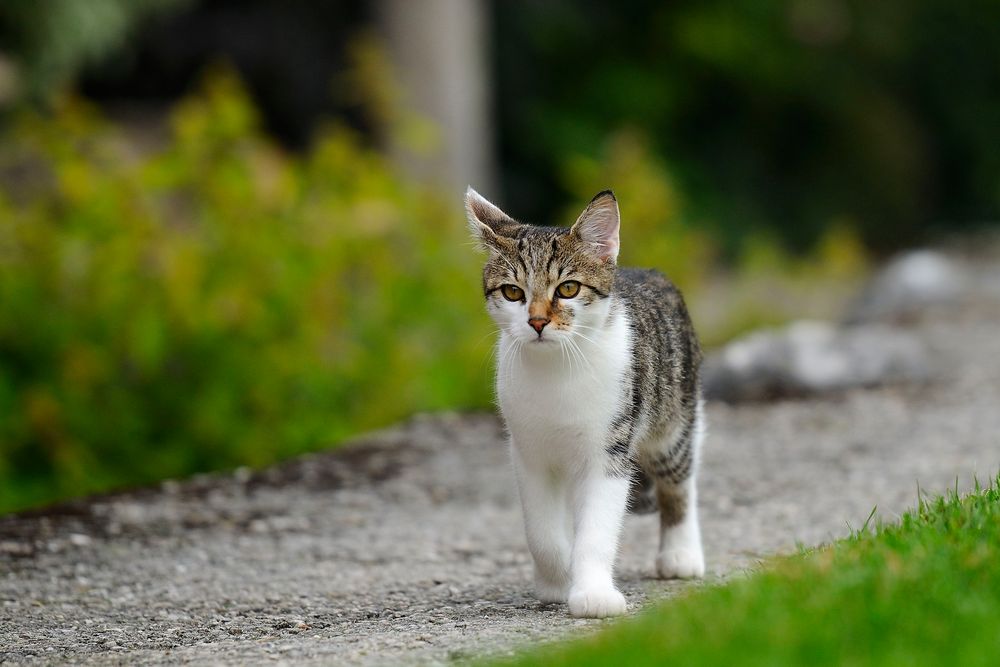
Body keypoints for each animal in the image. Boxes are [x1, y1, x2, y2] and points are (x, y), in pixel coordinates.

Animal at [466, 188, 708, 620]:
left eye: (568, 289)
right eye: (513, 292)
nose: (537, 322)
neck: (556, 372)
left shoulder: (610, 448)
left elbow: (596, 528)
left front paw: (593, 593)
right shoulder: (527, 450)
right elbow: (542, 531)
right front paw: (557, 580)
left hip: (675, 413)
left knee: (680, 475)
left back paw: (681, 553)